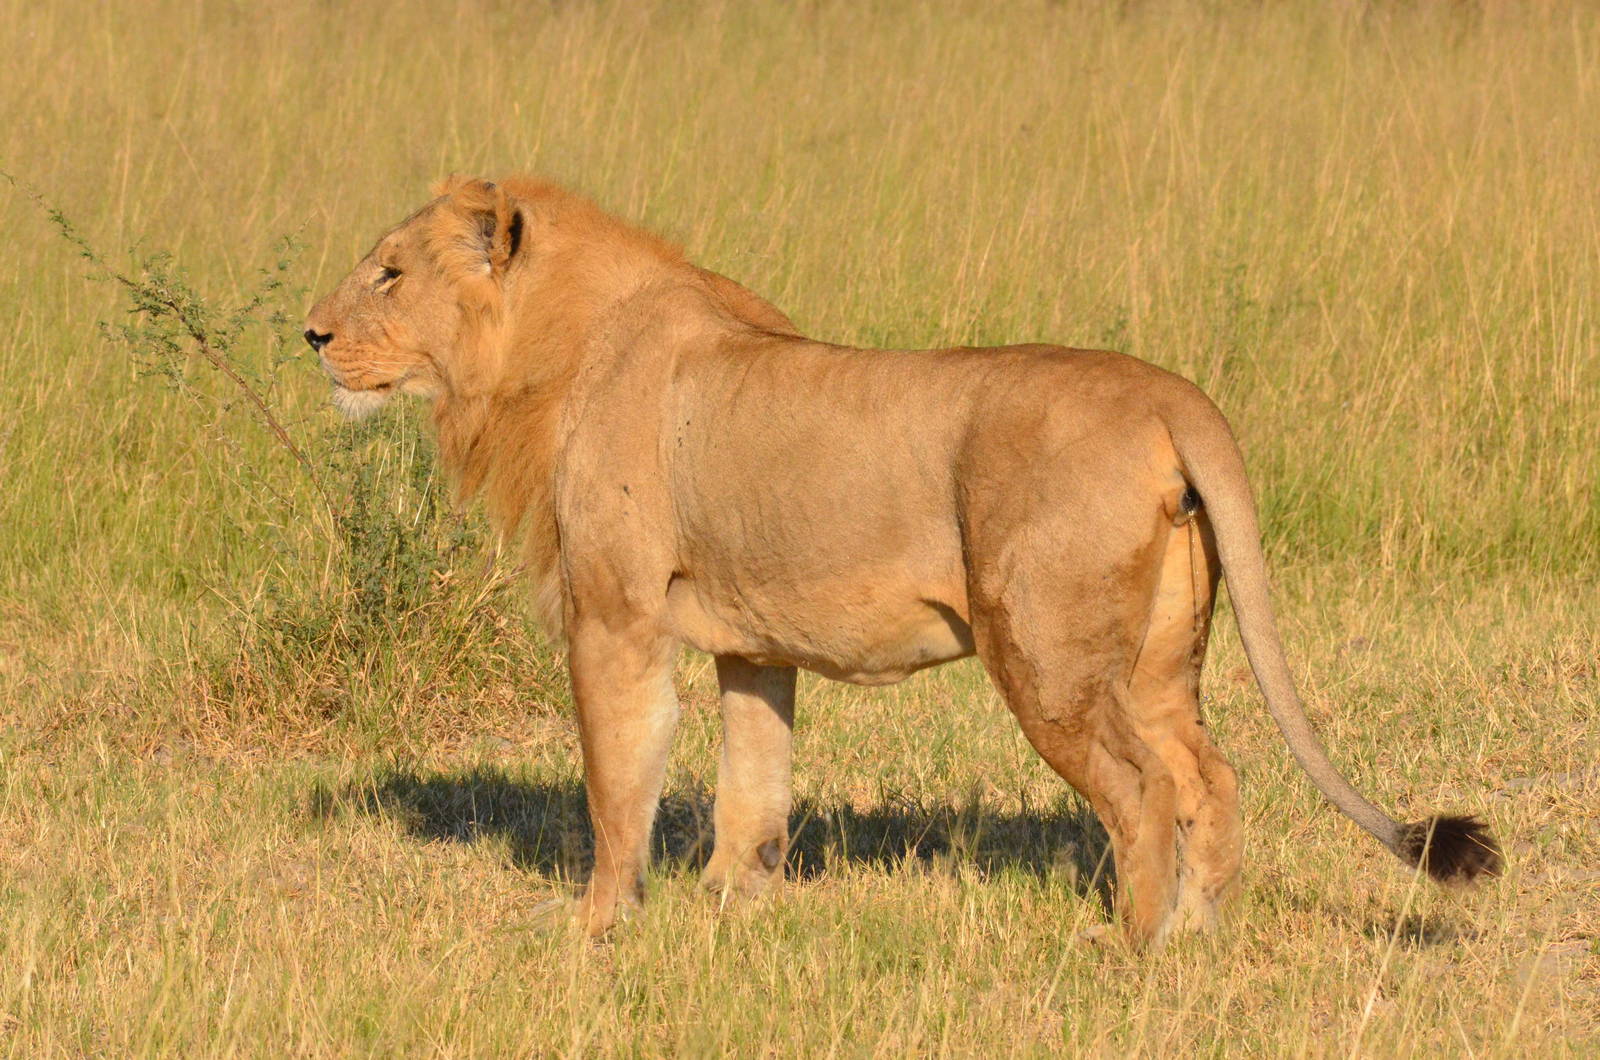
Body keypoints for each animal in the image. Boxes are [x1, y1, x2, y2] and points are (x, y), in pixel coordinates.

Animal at [304, 175, 1500, 944]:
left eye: (389, 273)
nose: (311, 335)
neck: (543, 355)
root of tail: (1169, 393)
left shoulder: (614, 615)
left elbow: (615, 779)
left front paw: (597, 925)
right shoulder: (752, 644)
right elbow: (752, 783)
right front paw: (728, 910)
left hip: (1045, 652)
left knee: (1144, 786)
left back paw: (1129, 946)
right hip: (1160, 656)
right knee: (1212, 773)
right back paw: (1200, 935)